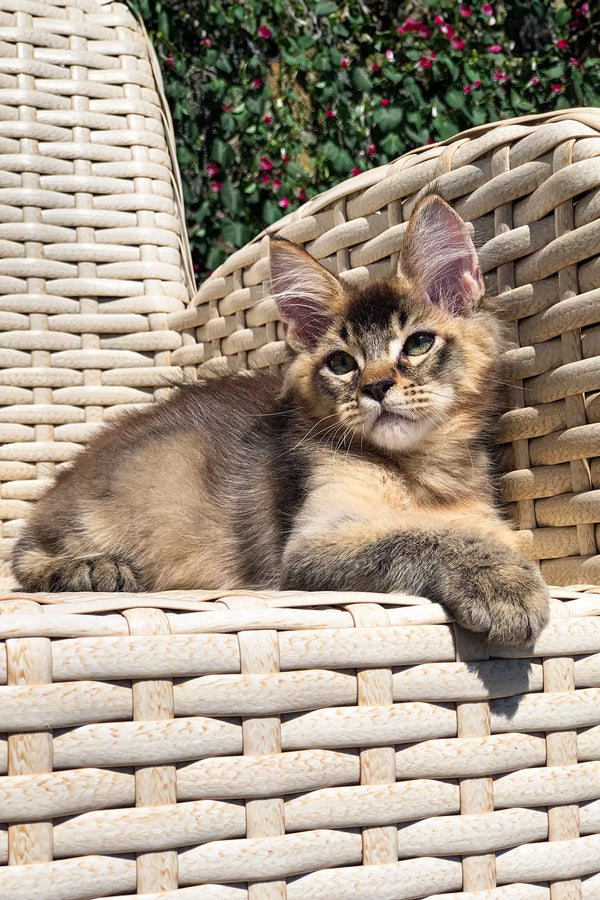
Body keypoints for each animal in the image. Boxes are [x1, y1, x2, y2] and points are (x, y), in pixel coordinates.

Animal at [12, 197, 548, 648]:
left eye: (417, 343)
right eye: (341, 363)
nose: (375, 388)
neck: (417, 472)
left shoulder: (477, 517)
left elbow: (473, 534)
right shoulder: (312, 544)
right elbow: (419, 537)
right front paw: (503, 582)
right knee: (24, 556)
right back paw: (94, 569)